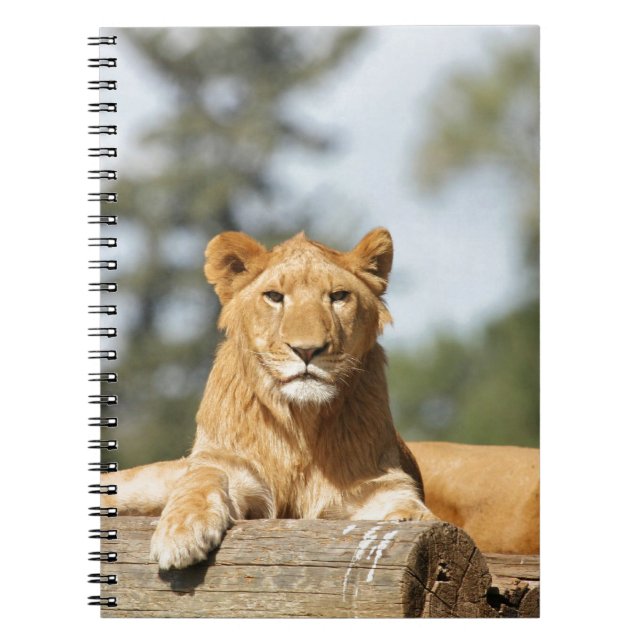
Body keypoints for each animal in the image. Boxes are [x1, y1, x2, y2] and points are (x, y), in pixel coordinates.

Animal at [104, 228, 436, 570]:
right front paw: (181, 531)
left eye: (339, 296)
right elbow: (202, 479)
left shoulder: (378, 483)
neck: (302, 419)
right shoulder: (231, 466)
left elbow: (406, 502)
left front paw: (412, 518)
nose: (307, 350)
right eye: (275, 297)